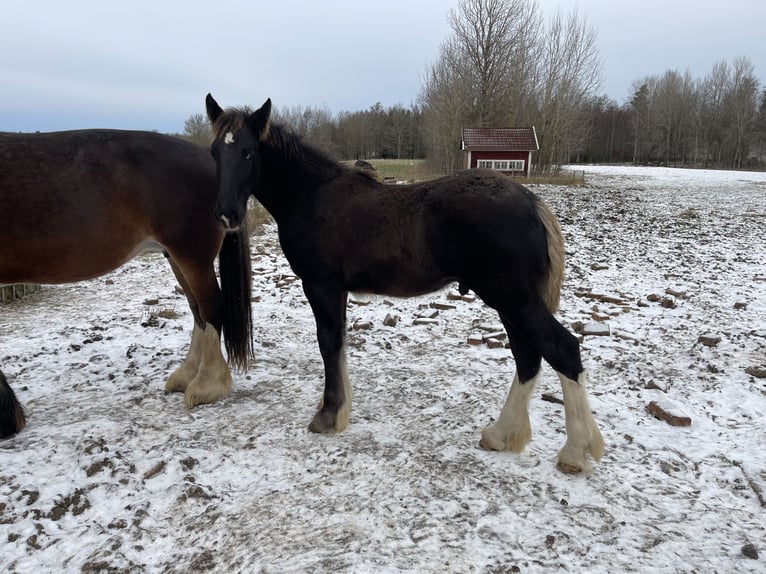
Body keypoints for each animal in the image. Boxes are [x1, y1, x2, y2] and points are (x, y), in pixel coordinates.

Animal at [206, 93, 608, 472]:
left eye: (248, 152)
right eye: (214, 152)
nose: (226, 215)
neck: (313, 195)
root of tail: (532, 203)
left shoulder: (321, 287)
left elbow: (328, 344)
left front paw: (328, 416)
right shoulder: (335, 292)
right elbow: (339, 346)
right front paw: (338, 410)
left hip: (514, 300)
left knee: (563, 350)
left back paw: (574, 452)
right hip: (510, 303)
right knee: (528, 358)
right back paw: (501, 434)